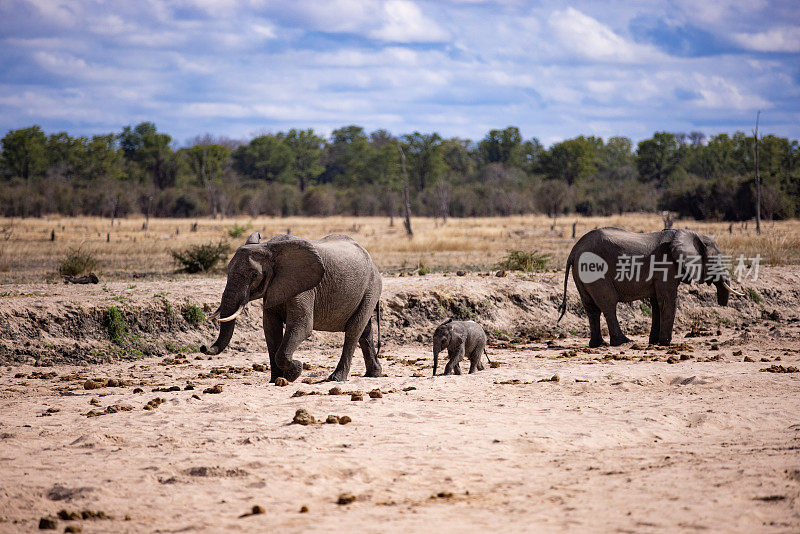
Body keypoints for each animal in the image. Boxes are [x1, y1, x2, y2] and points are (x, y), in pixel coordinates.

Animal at [203, 232, 384, 384]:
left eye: (254, 275)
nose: (204, 347)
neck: (269, 248)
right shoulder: (273, 288)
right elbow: (270, 329)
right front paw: (275, 379)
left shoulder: (305, 288)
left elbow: (302, 326)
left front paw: (295, 371)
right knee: (365, 331)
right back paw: (374, 374)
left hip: (371, 287)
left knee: (354, 330)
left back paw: (336, 378)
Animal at [560, 228, 740, 350]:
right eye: (716, 260)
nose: (722, 304)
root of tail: (574, 250)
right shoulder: (666, 266)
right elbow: (666, 300)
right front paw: (665, 343)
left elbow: (656, 303)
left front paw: (654, 342)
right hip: (594, 269)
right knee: (609, 303)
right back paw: (623, 342)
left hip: (582, 273)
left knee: (591, 307)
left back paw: (598, 344)